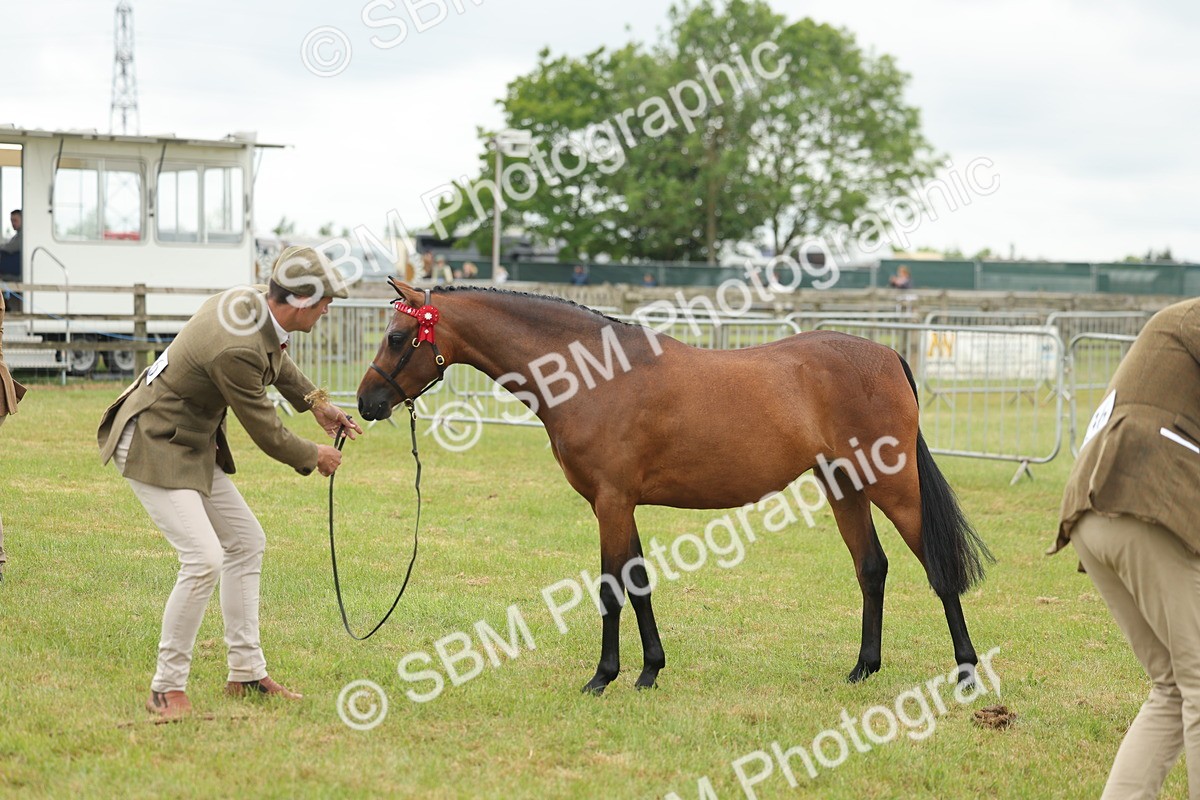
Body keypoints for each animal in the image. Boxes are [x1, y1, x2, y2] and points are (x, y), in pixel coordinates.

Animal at [356, 281, 993, 694]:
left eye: (397, 336)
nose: (366, 403)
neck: (593, 375)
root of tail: (886, 354)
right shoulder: (621, 505)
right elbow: (637, 582)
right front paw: (648, 671)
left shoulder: (611, 502)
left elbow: (611, 587)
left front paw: (602, 677)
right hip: (845, 485)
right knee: (871, 568)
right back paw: (863, 669)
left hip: (893, 485)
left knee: (936, 566)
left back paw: (965, 673)